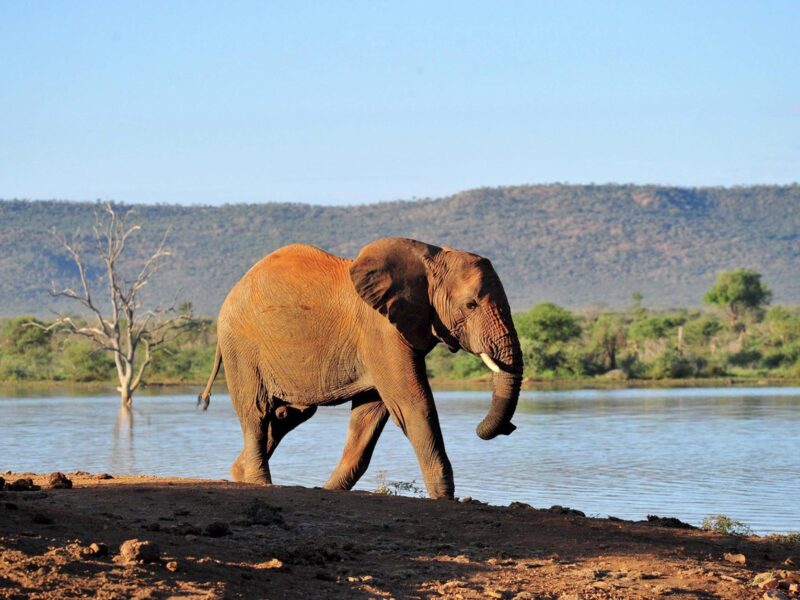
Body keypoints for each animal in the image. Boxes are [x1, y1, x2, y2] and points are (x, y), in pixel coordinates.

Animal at [198, 237, 524, 500]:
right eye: (470, 305)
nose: (509, 428)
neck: (429, 256)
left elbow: (370, 416)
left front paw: (329, 490)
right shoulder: (380, 331)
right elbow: (413, 404)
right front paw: (445, 498)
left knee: (287, 415)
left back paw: (238, 473)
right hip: (241, 346)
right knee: (256, 411)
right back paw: (259, 483)